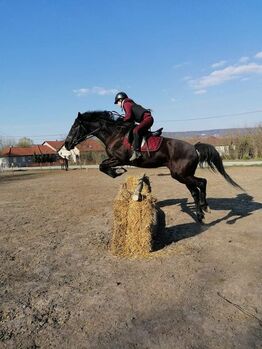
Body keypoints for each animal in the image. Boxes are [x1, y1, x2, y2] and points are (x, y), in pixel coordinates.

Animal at [64, 110, 244, 222]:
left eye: (75, 127)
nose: (67, 144)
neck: (114, 134)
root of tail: (194, 148)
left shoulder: (119, 158)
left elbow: (103, 167)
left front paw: (118, 172)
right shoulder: (114, 159)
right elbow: (102, 167)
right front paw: (117, 172)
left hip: (181, 174)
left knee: (201, 183)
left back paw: (207, 208)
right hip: (183, 175)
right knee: (195, 189)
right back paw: (201, 213)